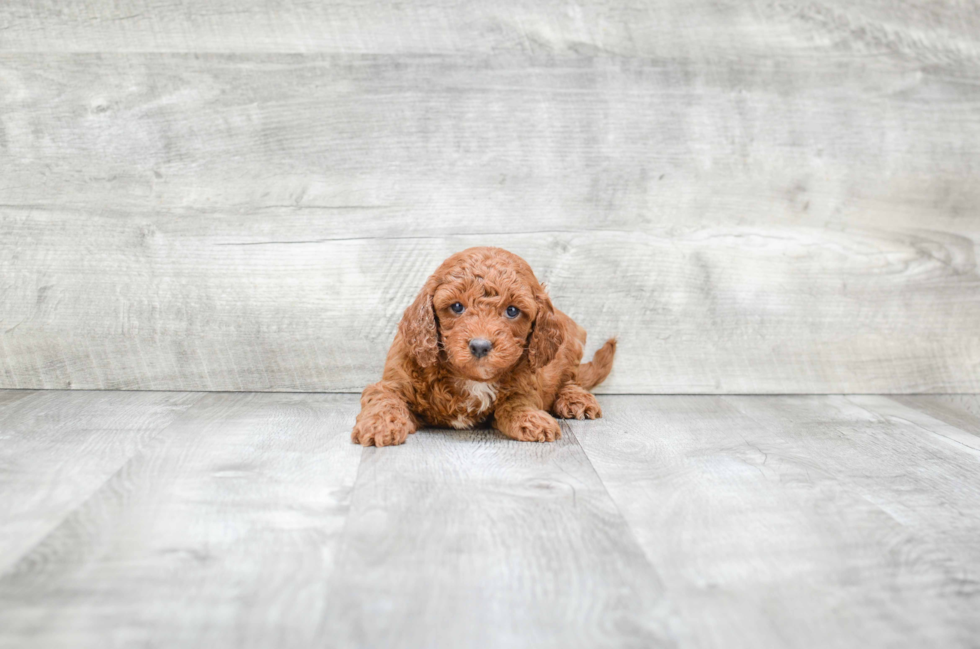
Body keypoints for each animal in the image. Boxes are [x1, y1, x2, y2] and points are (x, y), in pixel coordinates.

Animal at [350, 244, 612, 446]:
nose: (480, 346)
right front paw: (379, 426)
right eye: (457, 306)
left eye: (512, 311)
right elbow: (384, 400)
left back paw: (576, 399)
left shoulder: (526, 384)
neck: (468, 378)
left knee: (570, 378)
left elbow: (516, 403)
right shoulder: (393, 382)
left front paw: (531, 419)